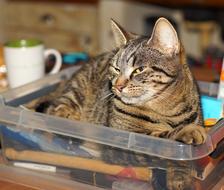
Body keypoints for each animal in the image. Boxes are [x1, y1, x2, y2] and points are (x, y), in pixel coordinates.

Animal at [36, 17, 206, 189]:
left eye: (139, 70)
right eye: (116, 69)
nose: (117, 86)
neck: (165, 109)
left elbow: (180, 166)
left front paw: (180, 181)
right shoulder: (123, 139)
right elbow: (161, 138)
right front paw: (187, 131)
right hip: (74, 94)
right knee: (55, 110)